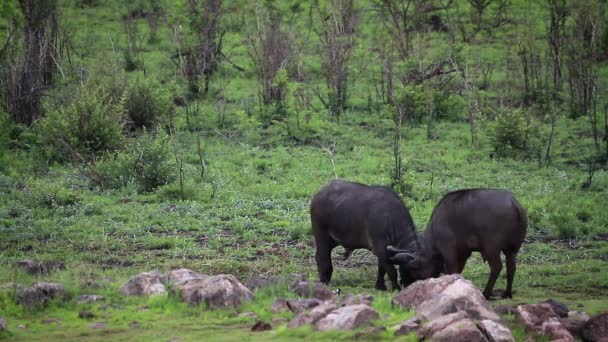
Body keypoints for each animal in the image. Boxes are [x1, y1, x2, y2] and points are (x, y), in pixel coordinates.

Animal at [390, 188, 528, 298]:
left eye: (410, 271)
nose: (404, 284)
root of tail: (513, 203)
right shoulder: (464, 252)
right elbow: (459, 269)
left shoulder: (449, 251)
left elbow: (452, 269)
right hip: (512, 250)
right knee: (511, 268)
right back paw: (507, 293)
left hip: (491, 248)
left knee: (496, 267)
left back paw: (486, 293)